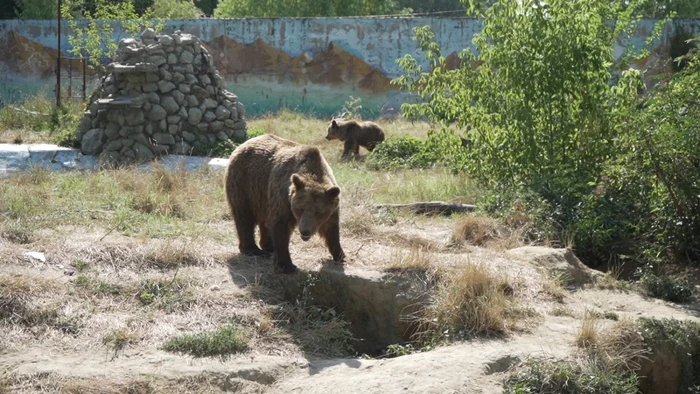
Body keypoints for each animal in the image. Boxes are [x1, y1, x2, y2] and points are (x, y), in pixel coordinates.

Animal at [224, 134, 344, 272]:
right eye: (300, 209)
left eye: (319, 212)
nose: (305, 231)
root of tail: (243, 144)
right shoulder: (283, 197)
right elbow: (280, 224)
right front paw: (287, 265)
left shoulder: (331, 204)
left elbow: (331, 228)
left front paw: (340, 254)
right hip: (244, 183)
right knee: (244, 216)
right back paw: (253, 250)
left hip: (262, 196)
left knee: (264, 220)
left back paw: (268, 246)